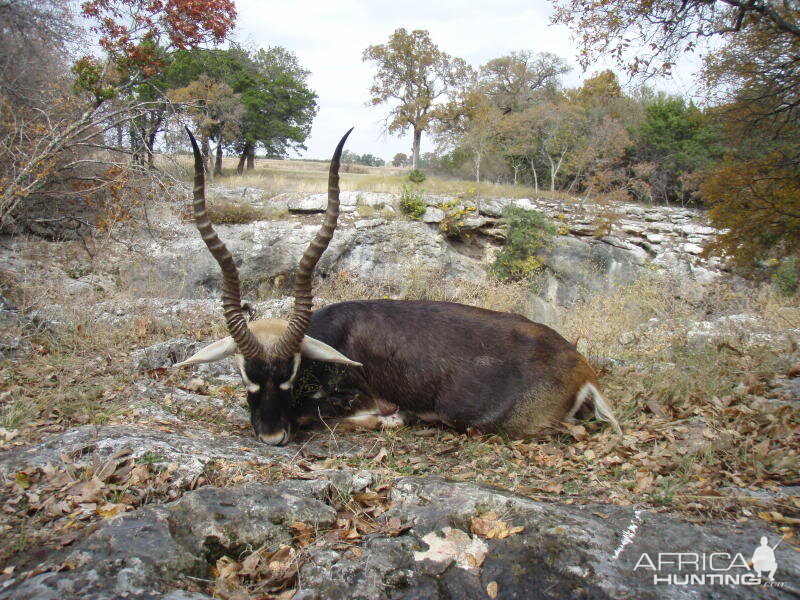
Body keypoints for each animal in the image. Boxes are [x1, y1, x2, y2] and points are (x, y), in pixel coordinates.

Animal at [178, 129, 620, 442]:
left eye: (290, 373)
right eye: (245, 373)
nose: (272, 436)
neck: (334, 335)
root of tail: (581, 366)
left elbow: (313, 411)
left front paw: (391, 418)